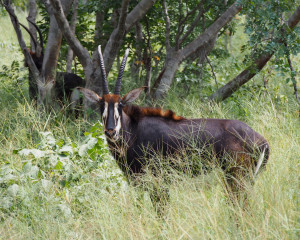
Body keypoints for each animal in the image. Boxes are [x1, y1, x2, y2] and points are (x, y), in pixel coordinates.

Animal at [79, 46, 270, 198]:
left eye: (121, 104)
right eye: (101, 105)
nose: (111, 131)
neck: (134, 131)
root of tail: (262, 141)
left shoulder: (159, 183)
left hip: (237, 179)